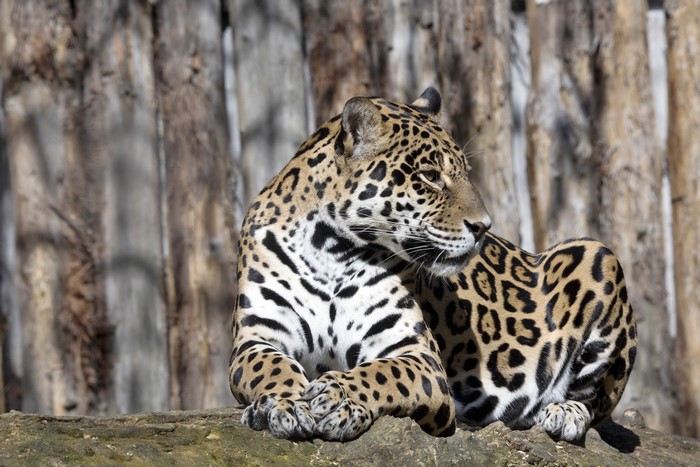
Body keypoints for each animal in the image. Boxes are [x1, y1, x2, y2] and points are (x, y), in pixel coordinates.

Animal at [229, 87, 637, 443]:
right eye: (429, 176)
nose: (484, 226)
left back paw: (563, 413)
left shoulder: (418, 356)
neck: (331, 249)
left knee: (594, 405)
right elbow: (273, 367)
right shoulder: (256, 338)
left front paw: (338, 396)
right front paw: (285, 404)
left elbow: (381, 372)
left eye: (465, 172)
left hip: (598, 254)